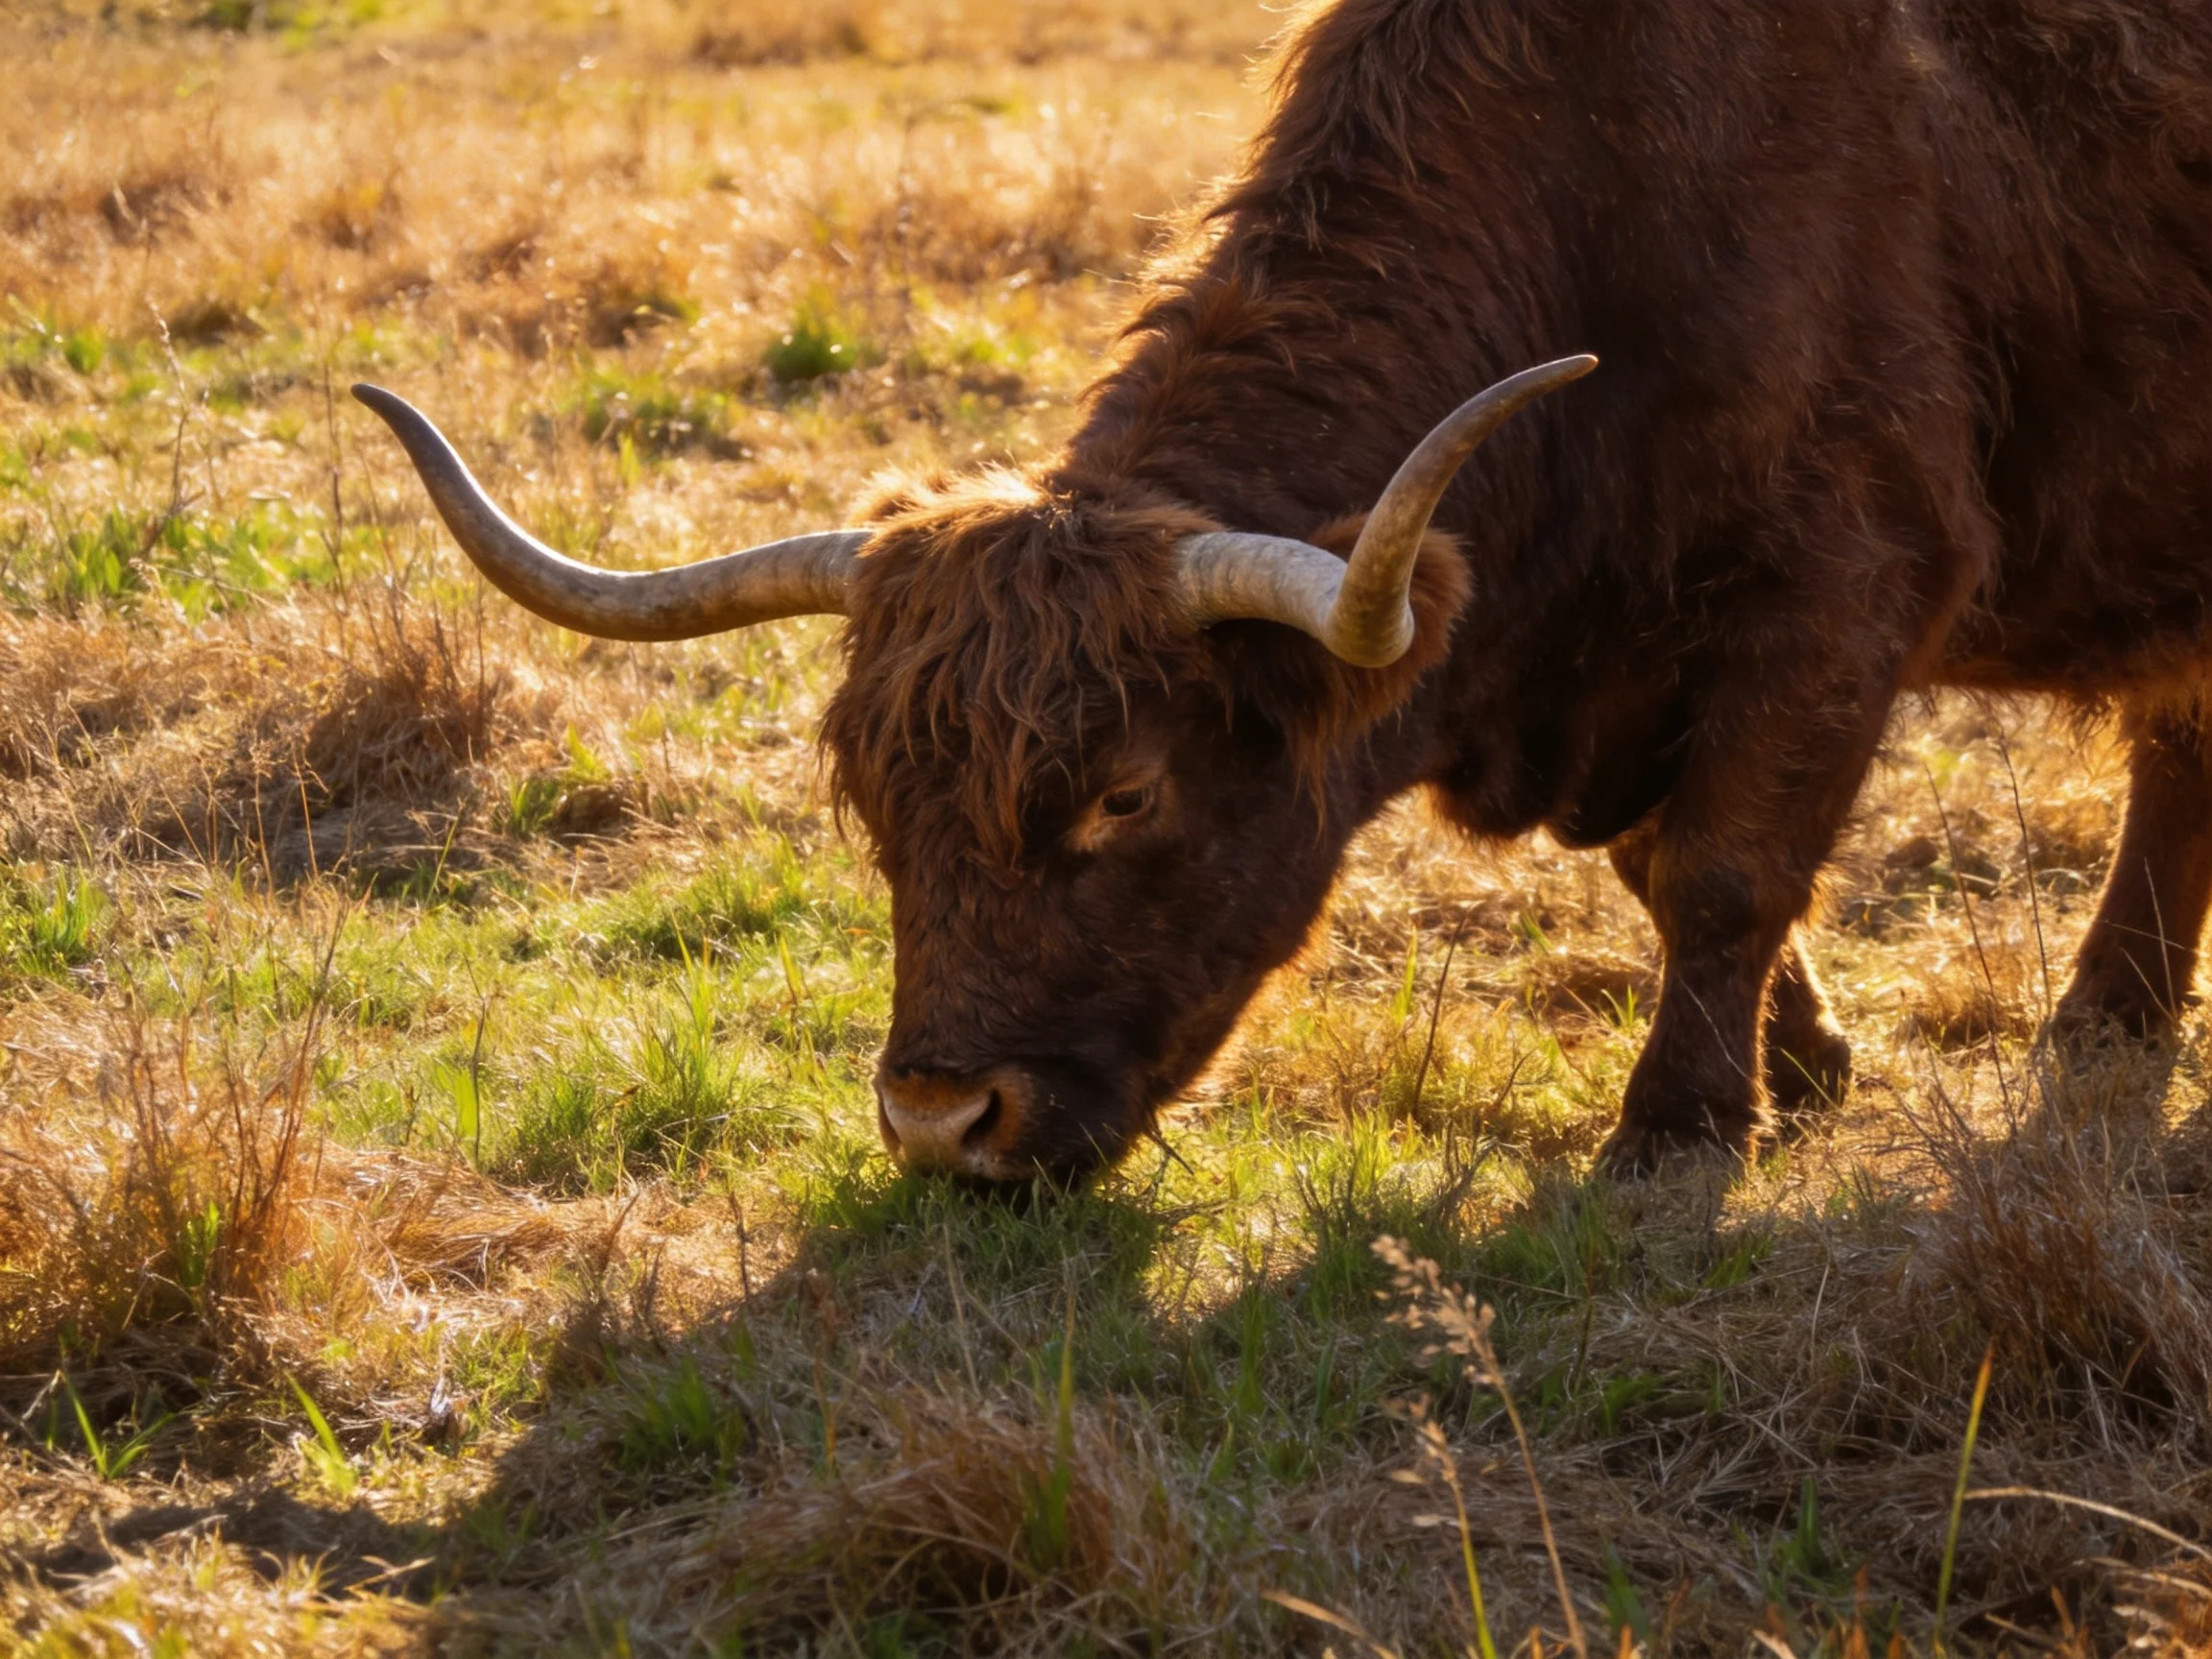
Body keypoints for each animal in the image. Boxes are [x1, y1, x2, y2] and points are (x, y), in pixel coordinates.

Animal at [357, 0, 2212, 1183]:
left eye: (1122, 794)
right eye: (875, 805)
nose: (941, 1126)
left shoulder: (1842, 585)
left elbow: (1723, 869)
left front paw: (1676, 1130)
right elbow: (1661, 863)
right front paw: (1808, 1071)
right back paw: (2109, 1036)